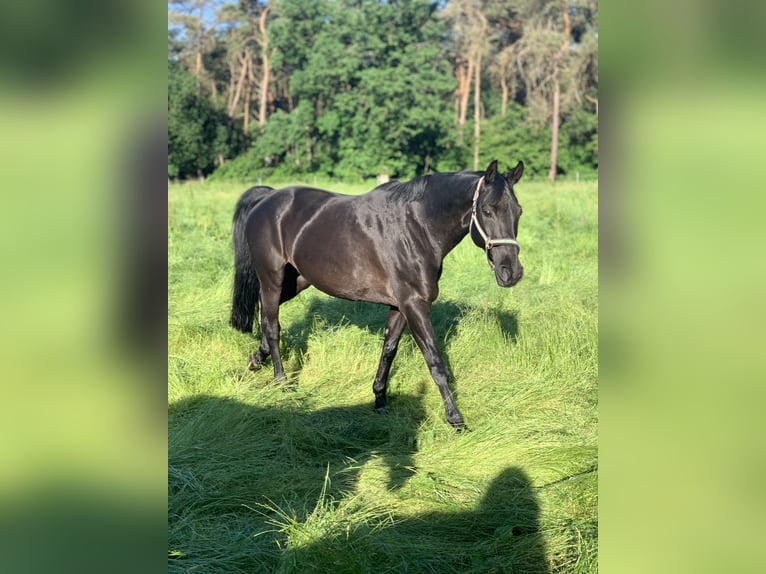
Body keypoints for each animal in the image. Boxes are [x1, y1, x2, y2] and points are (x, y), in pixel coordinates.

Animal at [229, 160, 524, 429]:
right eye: (487, 210)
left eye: (518, 211)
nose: (511, 272)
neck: (416, 228)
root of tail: (268, 198)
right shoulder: (415, 305)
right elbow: (435, 362)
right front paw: (455, 419)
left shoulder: (401, 306)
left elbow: (389, 350)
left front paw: (380, 400)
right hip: (272, 280)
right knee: (272, 326)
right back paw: (281, 383)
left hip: (297, 280)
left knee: (265, 318)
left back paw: (256, 359)